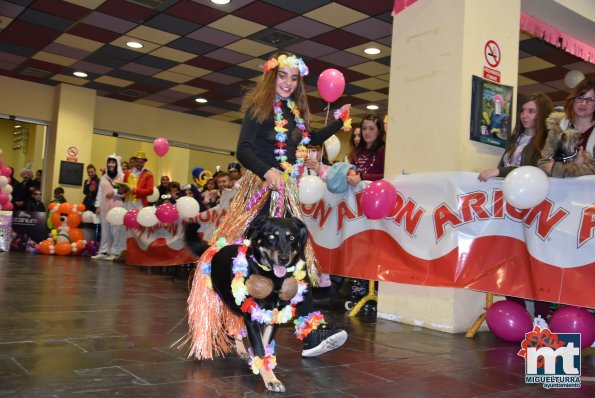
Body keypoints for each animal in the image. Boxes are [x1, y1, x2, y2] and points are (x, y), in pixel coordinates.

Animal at [185, 215, 308, 392]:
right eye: (271, 237)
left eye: (292, 238)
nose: (284, 259)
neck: (271, 277)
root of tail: (214, 250)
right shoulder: (251, 317)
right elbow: (260, 349)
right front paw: (271, 380)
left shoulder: (273, 315)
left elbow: (264, 344)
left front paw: (263, 368)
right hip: (212, 301)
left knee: (235, 326)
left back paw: (242, 350)